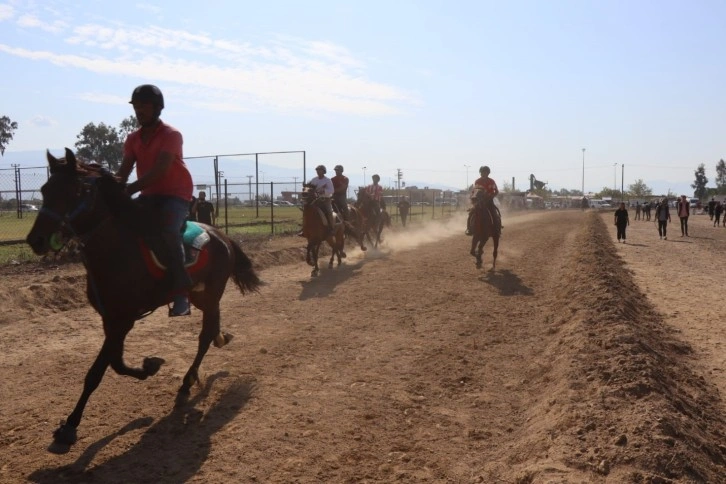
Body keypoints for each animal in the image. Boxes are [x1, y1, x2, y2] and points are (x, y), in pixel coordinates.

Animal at [25, 147, 262, 446]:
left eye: (75, 191)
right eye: (45, 189)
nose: (37, 240)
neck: (116, 250)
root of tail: (222, 236)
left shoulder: (123, 320)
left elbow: (96, 372)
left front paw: (70, 425)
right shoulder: (111, 320)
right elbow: (116, 363)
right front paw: (149, 367)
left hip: (210, 295)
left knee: (204, 336)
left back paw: (187, 382)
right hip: (202, 296)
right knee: (212, 329)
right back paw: (218, 341)